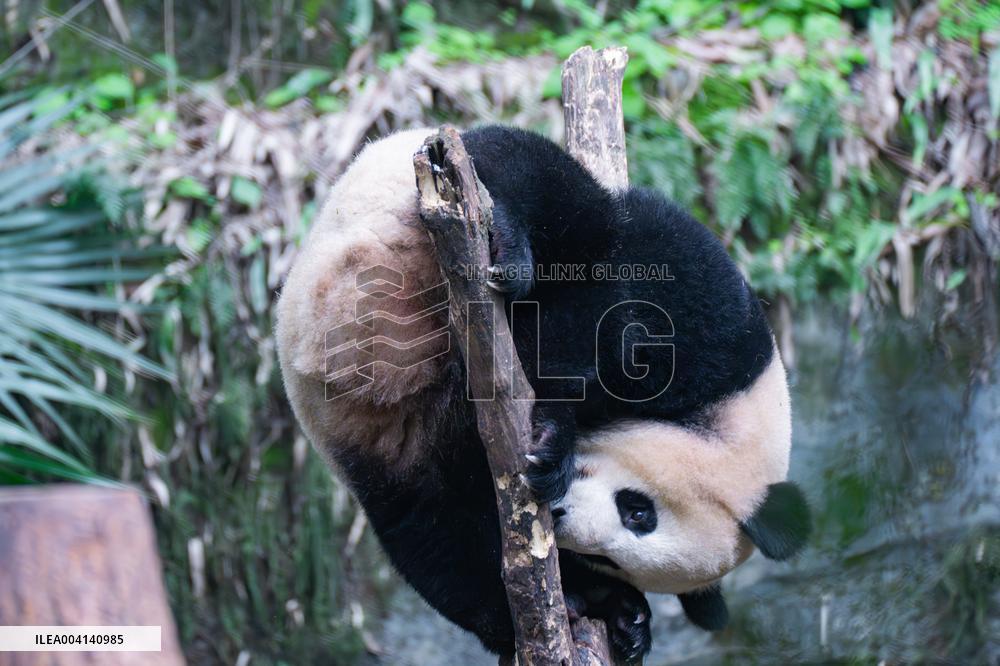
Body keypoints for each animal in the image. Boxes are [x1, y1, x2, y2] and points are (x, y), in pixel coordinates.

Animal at [275, 125, 810, 661]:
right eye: (639, 511)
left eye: (614, 556)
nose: (562, 517)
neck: (730, 405)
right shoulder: (714, 322)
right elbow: (620, 296)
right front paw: (555, 430)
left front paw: (625, 617)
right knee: (531, 178)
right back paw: (508, 250)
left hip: (392, 450)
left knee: (432, 533)